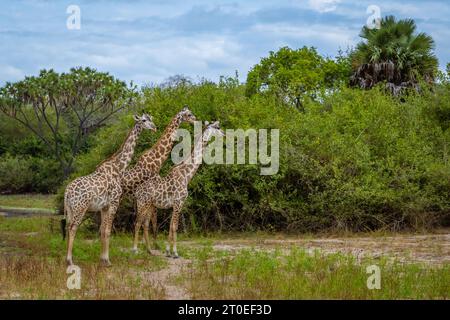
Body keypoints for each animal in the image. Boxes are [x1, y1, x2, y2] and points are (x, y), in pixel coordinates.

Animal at [62, 114, 156, 266]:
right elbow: (107, 231)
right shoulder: (114, 202)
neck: (118, 168)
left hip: (71, 209)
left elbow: (103, 230)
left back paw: (67, 258)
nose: (154, 127)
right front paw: (107, 260)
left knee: (68, 226)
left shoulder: (104, 206)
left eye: (151, 118)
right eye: (143, 120)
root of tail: (66, 192)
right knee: (73, 228)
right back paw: (70, 260)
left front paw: (102, 259)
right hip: (80, 208)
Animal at [134, 120, 225, 258]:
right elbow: (175, 227)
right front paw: (175, 253)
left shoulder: (176, 204)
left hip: (150, 205)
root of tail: (137, 191)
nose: (224, 134)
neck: (186, 175)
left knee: (144, 224)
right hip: (142, 203)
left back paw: (149, 250)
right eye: (217, 127)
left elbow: (171, 226)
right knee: (138, 222)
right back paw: (134, 249)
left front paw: (168, 252)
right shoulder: (178, 202)